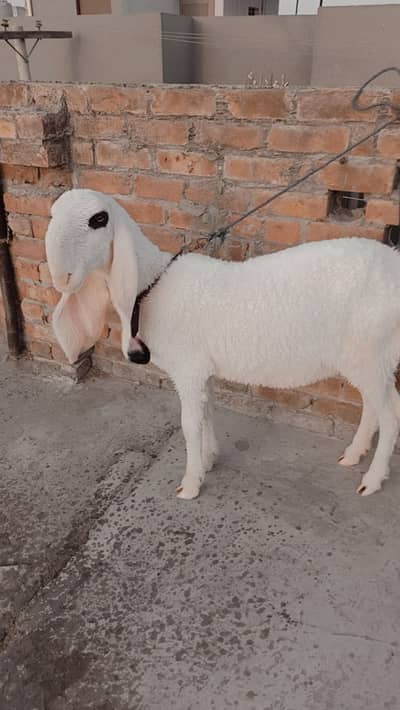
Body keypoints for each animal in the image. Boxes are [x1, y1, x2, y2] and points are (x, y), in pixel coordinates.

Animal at [45, 188, 400, 500]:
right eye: (52, 214)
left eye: (98, 219)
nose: (61, 278)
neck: (154, 283)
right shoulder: (203, 370)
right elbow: (208, 412)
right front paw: (209, 460)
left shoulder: (188, 369)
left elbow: (190, 425)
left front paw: (190, 484)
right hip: (369, 357)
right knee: (374, 405)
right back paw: (354, 454)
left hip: (370, 351)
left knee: (391, 413)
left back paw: (372, 480)